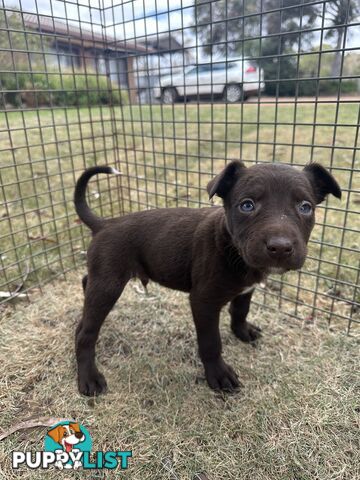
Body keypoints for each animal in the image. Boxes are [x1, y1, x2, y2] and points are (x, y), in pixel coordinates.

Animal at [74, 161, 340, 394]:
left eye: (305, 207)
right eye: (247, 205)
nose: (280, 248)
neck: (231, 247)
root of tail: (104, 224)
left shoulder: (247, 289)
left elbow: (240, 311)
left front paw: (242, 332)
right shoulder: (203, 302)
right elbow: (211, 342)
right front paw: (218, 374)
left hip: (103, 279)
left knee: (86, 288)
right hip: (109, 284)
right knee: (87, 334)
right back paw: (89, 377)